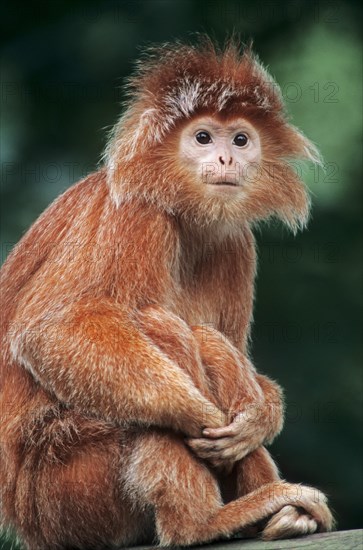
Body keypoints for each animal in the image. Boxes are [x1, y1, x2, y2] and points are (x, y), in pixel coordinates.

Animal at [0, 38, 336, 550]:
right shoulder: (136, 214)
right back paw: (202, 522)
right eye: (203, 138)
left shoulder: (237, 243)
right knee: (162, 327)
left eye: (240, 140)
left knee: (210, 340)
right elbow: (53, 330)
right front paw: (197, 412)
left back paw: (280, 515)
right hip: (64, 483)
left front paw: (260, 417)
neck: (182, 212)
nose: (226, 159)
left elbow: (234, 350)